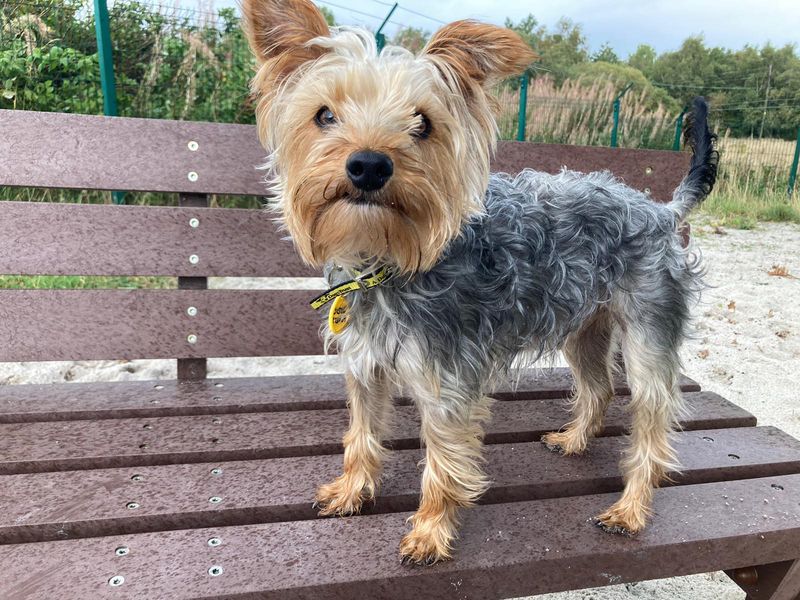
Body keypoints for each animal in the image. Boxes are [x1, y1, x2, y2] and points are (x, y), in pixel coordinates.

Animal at [244, 0, 720, 568]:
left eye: (422, 123)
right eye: (324, 115)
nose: (368, 164)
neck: (386, 264)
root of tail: (661, 211)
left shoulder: (447, 382)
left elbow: (444, 463)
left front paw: (430, 533)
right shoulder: (365, 366)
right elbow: (361, 434)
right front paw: (352, 491)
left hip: (649, 331)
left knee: (652, 423)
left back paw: (629, 510)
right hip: (585, 325)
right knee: (599, 385)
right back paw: (574, 440)